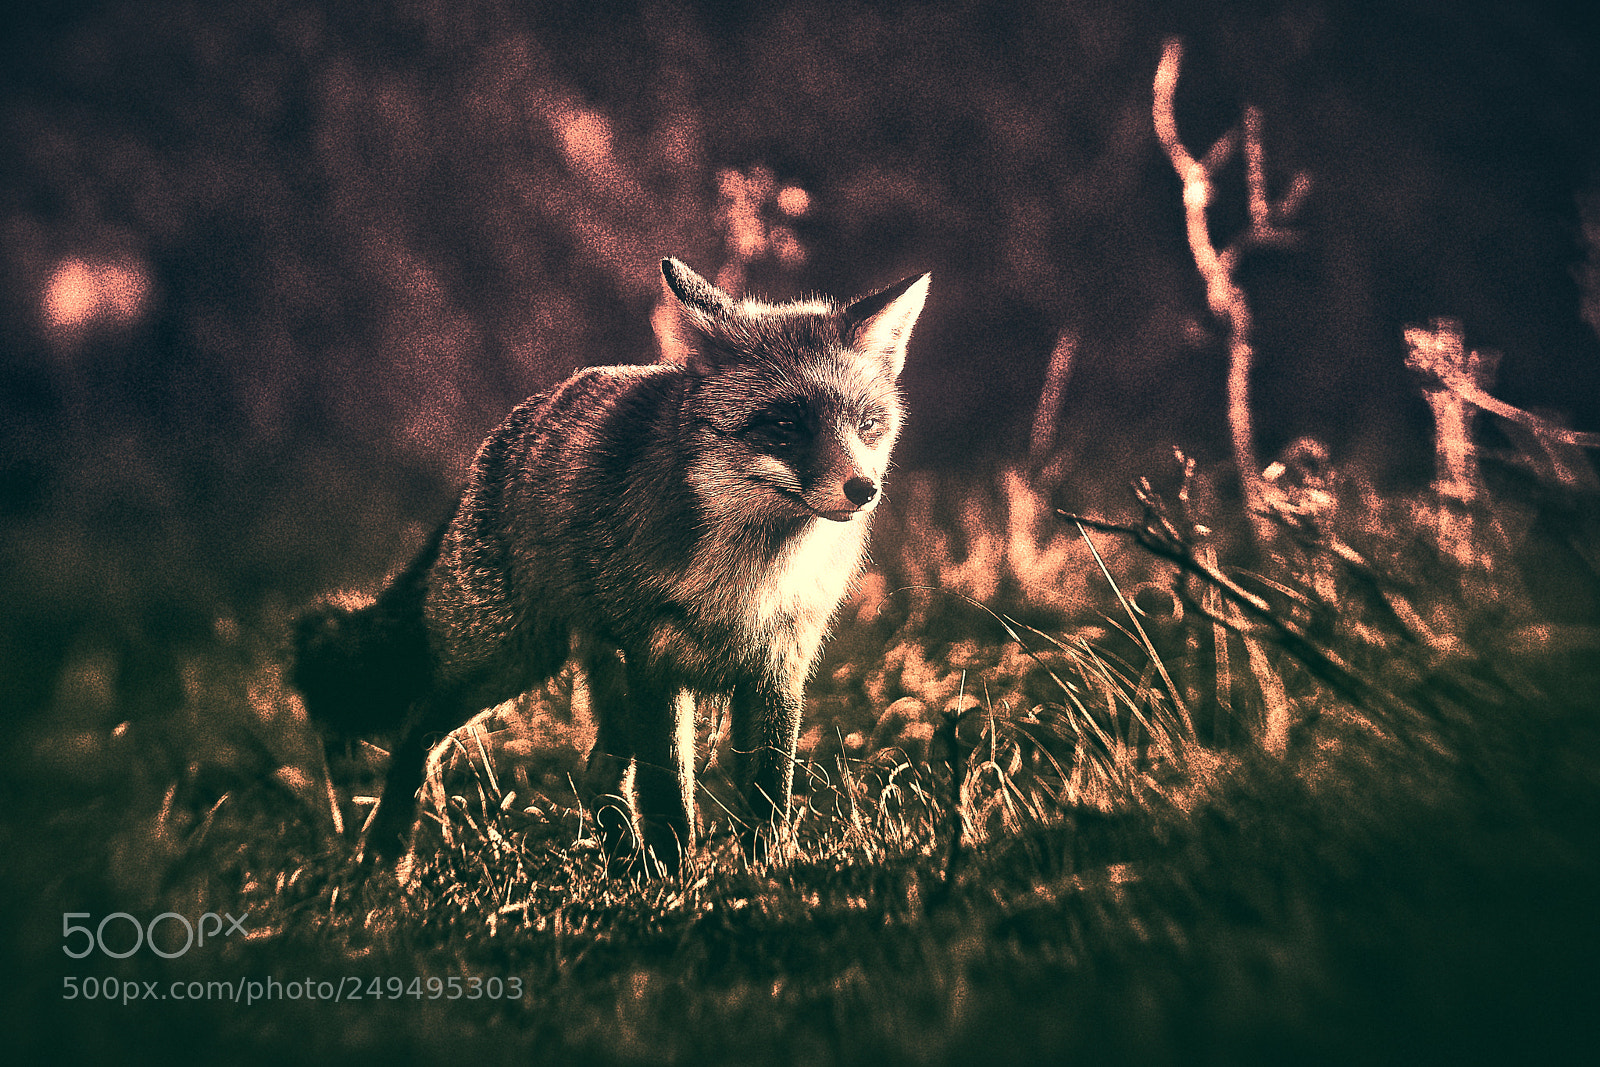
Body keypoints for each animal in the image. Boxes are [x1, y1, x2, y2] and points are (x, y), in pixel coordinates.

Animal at [292, 257, 930, 874]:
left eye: (868, 426)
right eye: (785, 426)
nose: (864, 489)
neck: (746, 581)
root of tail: (504, 436)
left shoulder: (778, 669)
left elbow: (768, 793)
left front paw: (766, 873)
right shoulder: (654, 662)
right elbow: (670, 791)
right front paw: (681, 882)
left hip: (593, 675)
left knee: (598, 770)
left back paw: (625, 866)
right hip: (506, 660)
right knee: (418, 731)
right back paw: (387, 855)